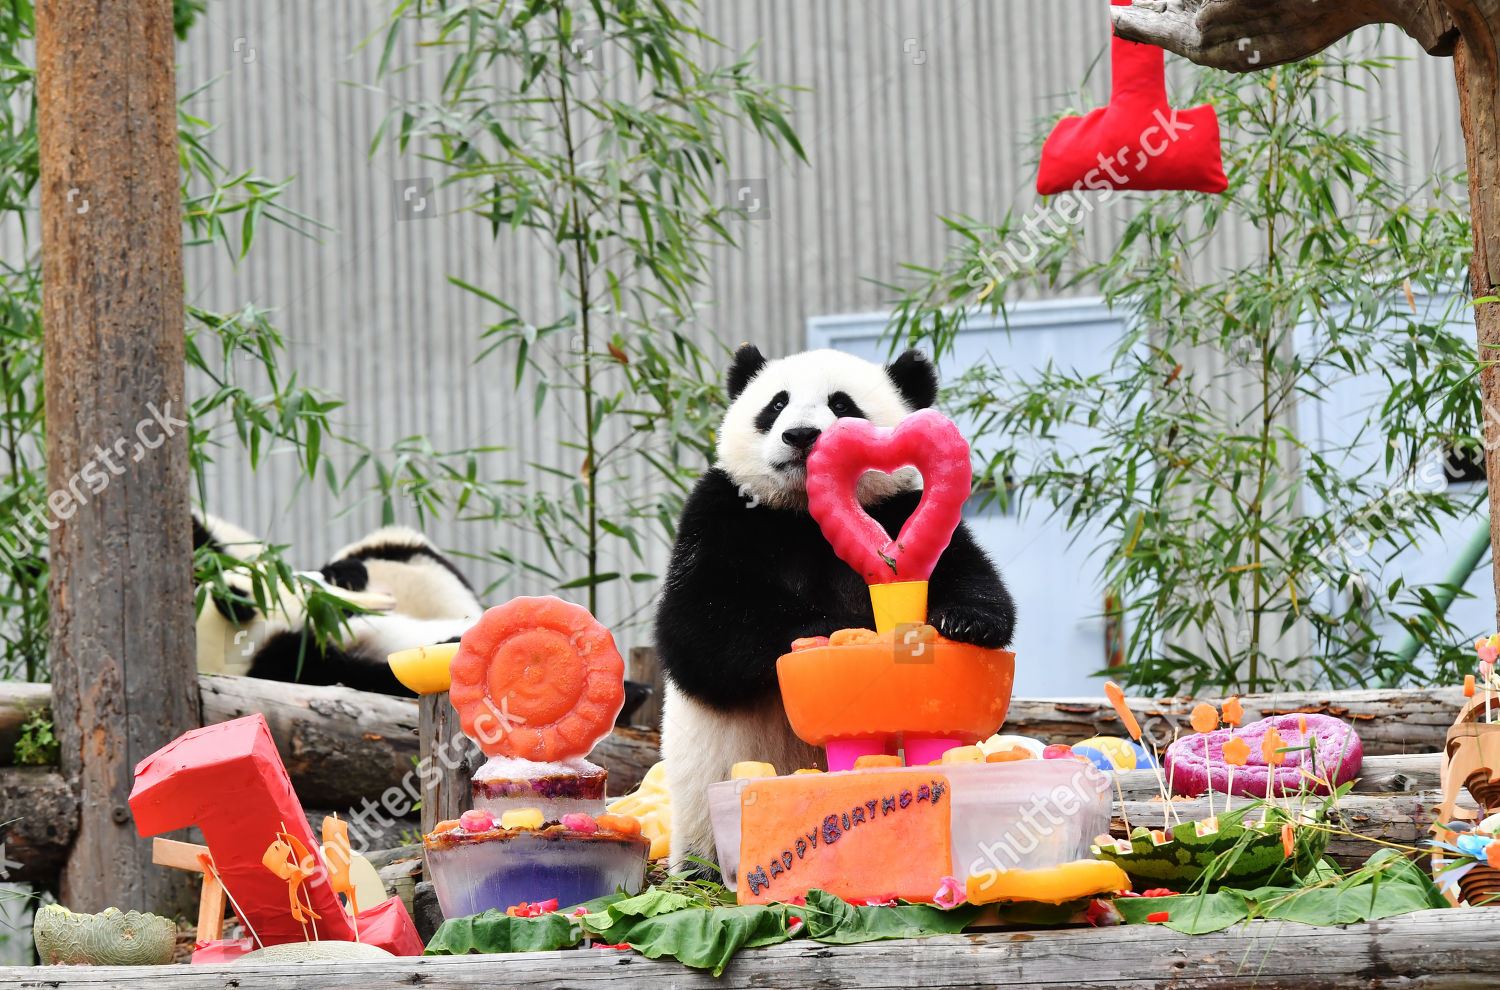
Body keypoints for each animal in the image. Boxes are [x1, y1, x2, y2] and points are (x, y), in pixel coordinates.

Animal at [654, 346, 1014, 876]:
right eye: (776, 403)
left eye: (842, 404)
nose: (801, 435)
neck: (806, 513)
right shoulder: (720, 513)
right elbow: (696, 629)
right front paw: (832, 629)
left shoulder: (900, 508)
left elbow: (970, 574)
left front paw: (965, 621)